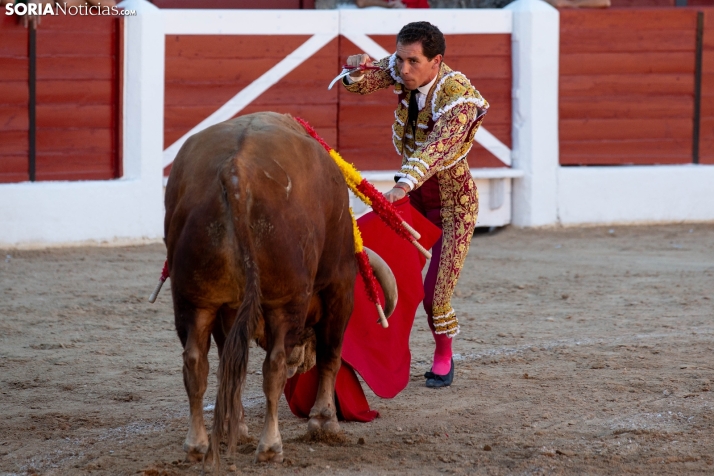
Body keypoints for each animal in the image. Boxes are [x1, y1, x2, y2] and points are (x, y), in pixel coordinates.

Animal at [163, 112, 394, 464]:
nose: (303, 362)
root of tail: (236, 173)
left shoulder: (224, 312)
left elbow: (230, 365)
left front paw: (236, 429)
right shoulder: (339, 287)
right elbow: (331, 355)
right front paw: (324, 422)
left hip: (194, 300)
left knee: (196, 362)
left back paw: (197, 444)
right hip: (283, 302)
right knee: (273, 366)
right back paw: (270, 446)